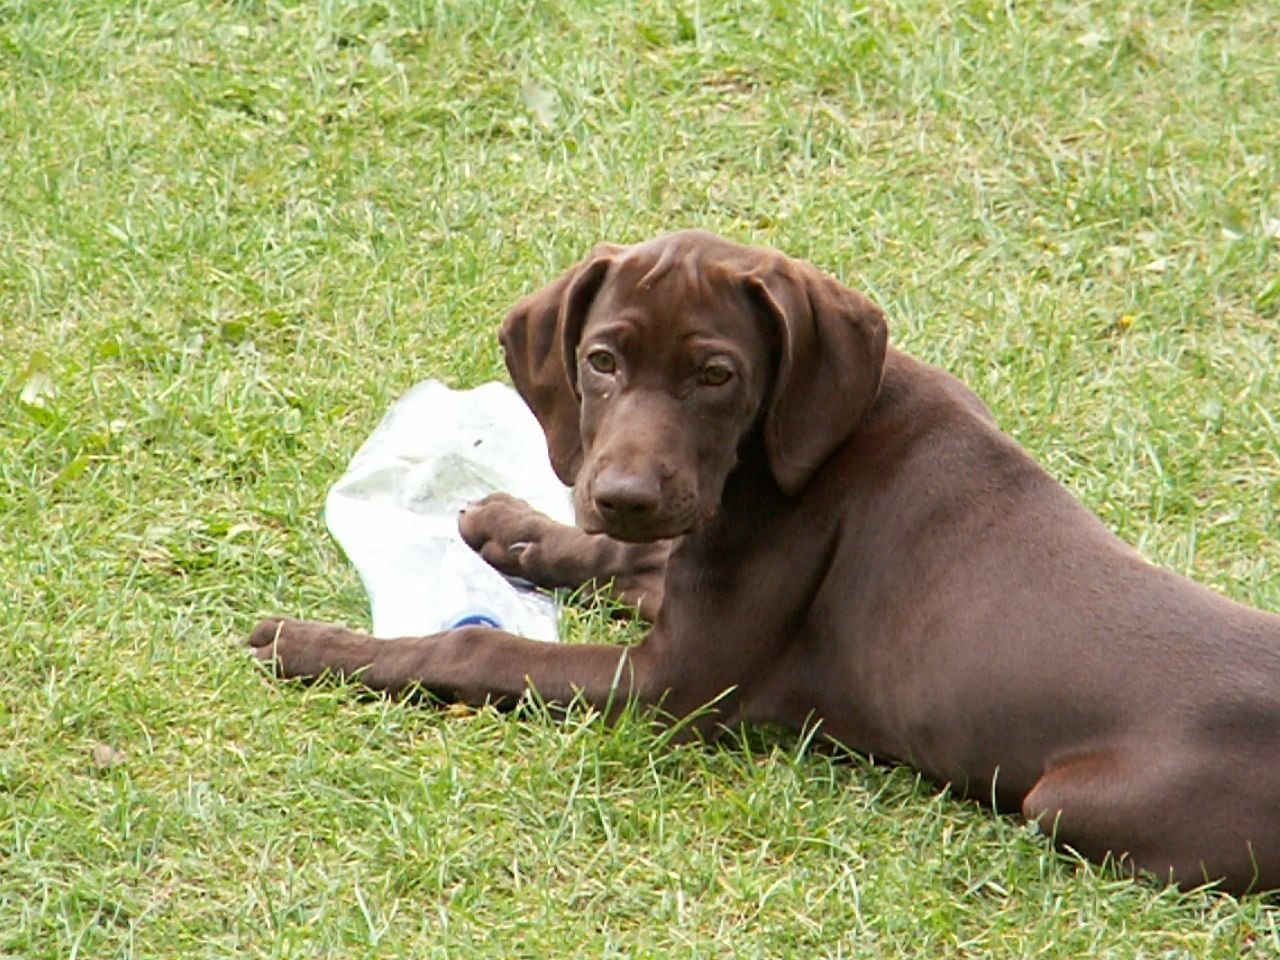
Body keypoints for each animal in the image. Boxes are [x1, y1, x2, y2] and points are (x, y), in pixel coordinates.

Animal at [249, 231, 1280, 896]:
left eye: (717, 376)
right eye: (601, 361)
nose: (621, 488)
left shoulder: (675, 682)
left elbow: (477, 649)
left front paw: (311, 645)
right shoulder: (692, 556)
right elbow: (627, 554)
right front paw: (514, 526)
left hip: (1070, 803)